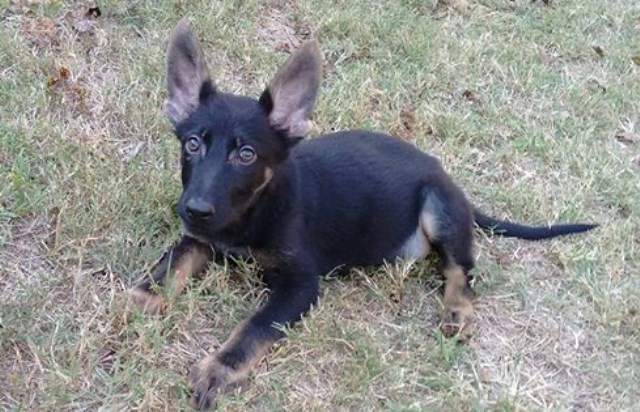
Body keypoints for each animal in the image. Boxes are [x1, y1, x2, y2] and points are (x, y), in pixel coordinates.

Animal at [129, 19, 596, 408]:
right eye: (192, 144)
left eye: (246, 154)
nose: (194, 210)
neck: (252, 211)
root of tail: (444, 175)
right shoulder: (200, 239)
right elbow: (170, 264)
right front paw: (140, 299)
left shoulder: (301, 283)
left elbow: (255, 326)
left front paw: (219, 369)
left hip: (437, 206)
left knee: (461, 268)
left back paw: (458, 311)